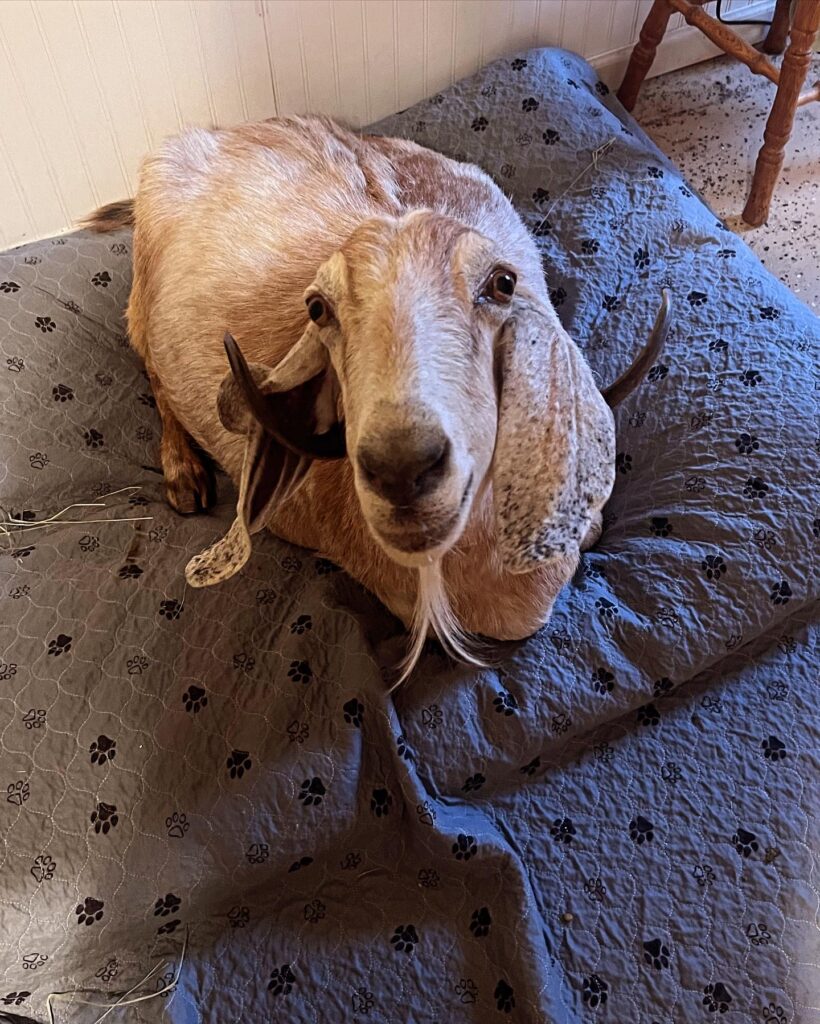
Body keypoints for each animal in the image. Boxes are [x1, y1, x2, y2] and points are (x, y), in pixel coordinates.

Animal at [86, 115, 668, 678]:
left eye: (502, 283)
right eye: (318, 307)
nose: (401, 467)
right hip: (143, 305)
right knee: (151, 369)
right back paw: (184, 475)